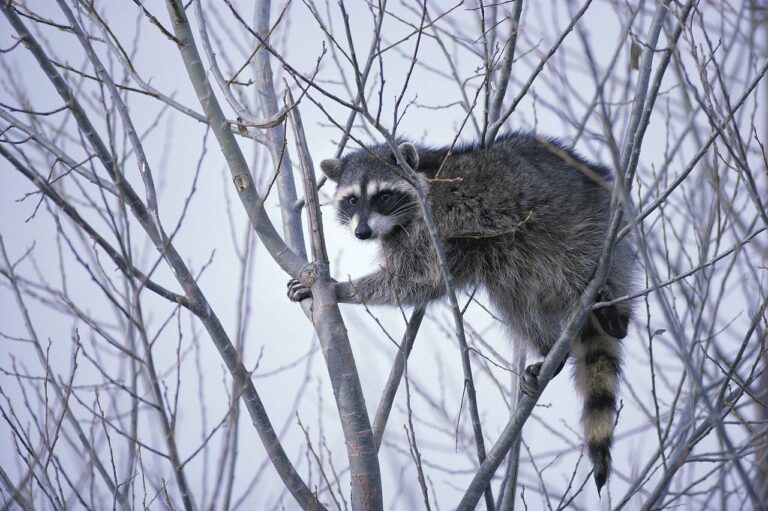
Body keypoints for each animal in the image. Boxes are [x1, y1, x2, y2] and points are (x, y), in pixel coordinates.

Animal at [288, 132, 635, 492]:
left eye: (383, 195)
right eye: (353, 200)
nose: (362, 232)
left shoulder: (433, 224)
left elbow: (415, 279)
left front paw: (341, 288)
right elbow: (422, 284)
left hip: (584, 230)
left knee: (575, 264)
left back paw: (616, 315)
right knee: (513, 298)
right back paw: (549, 348)